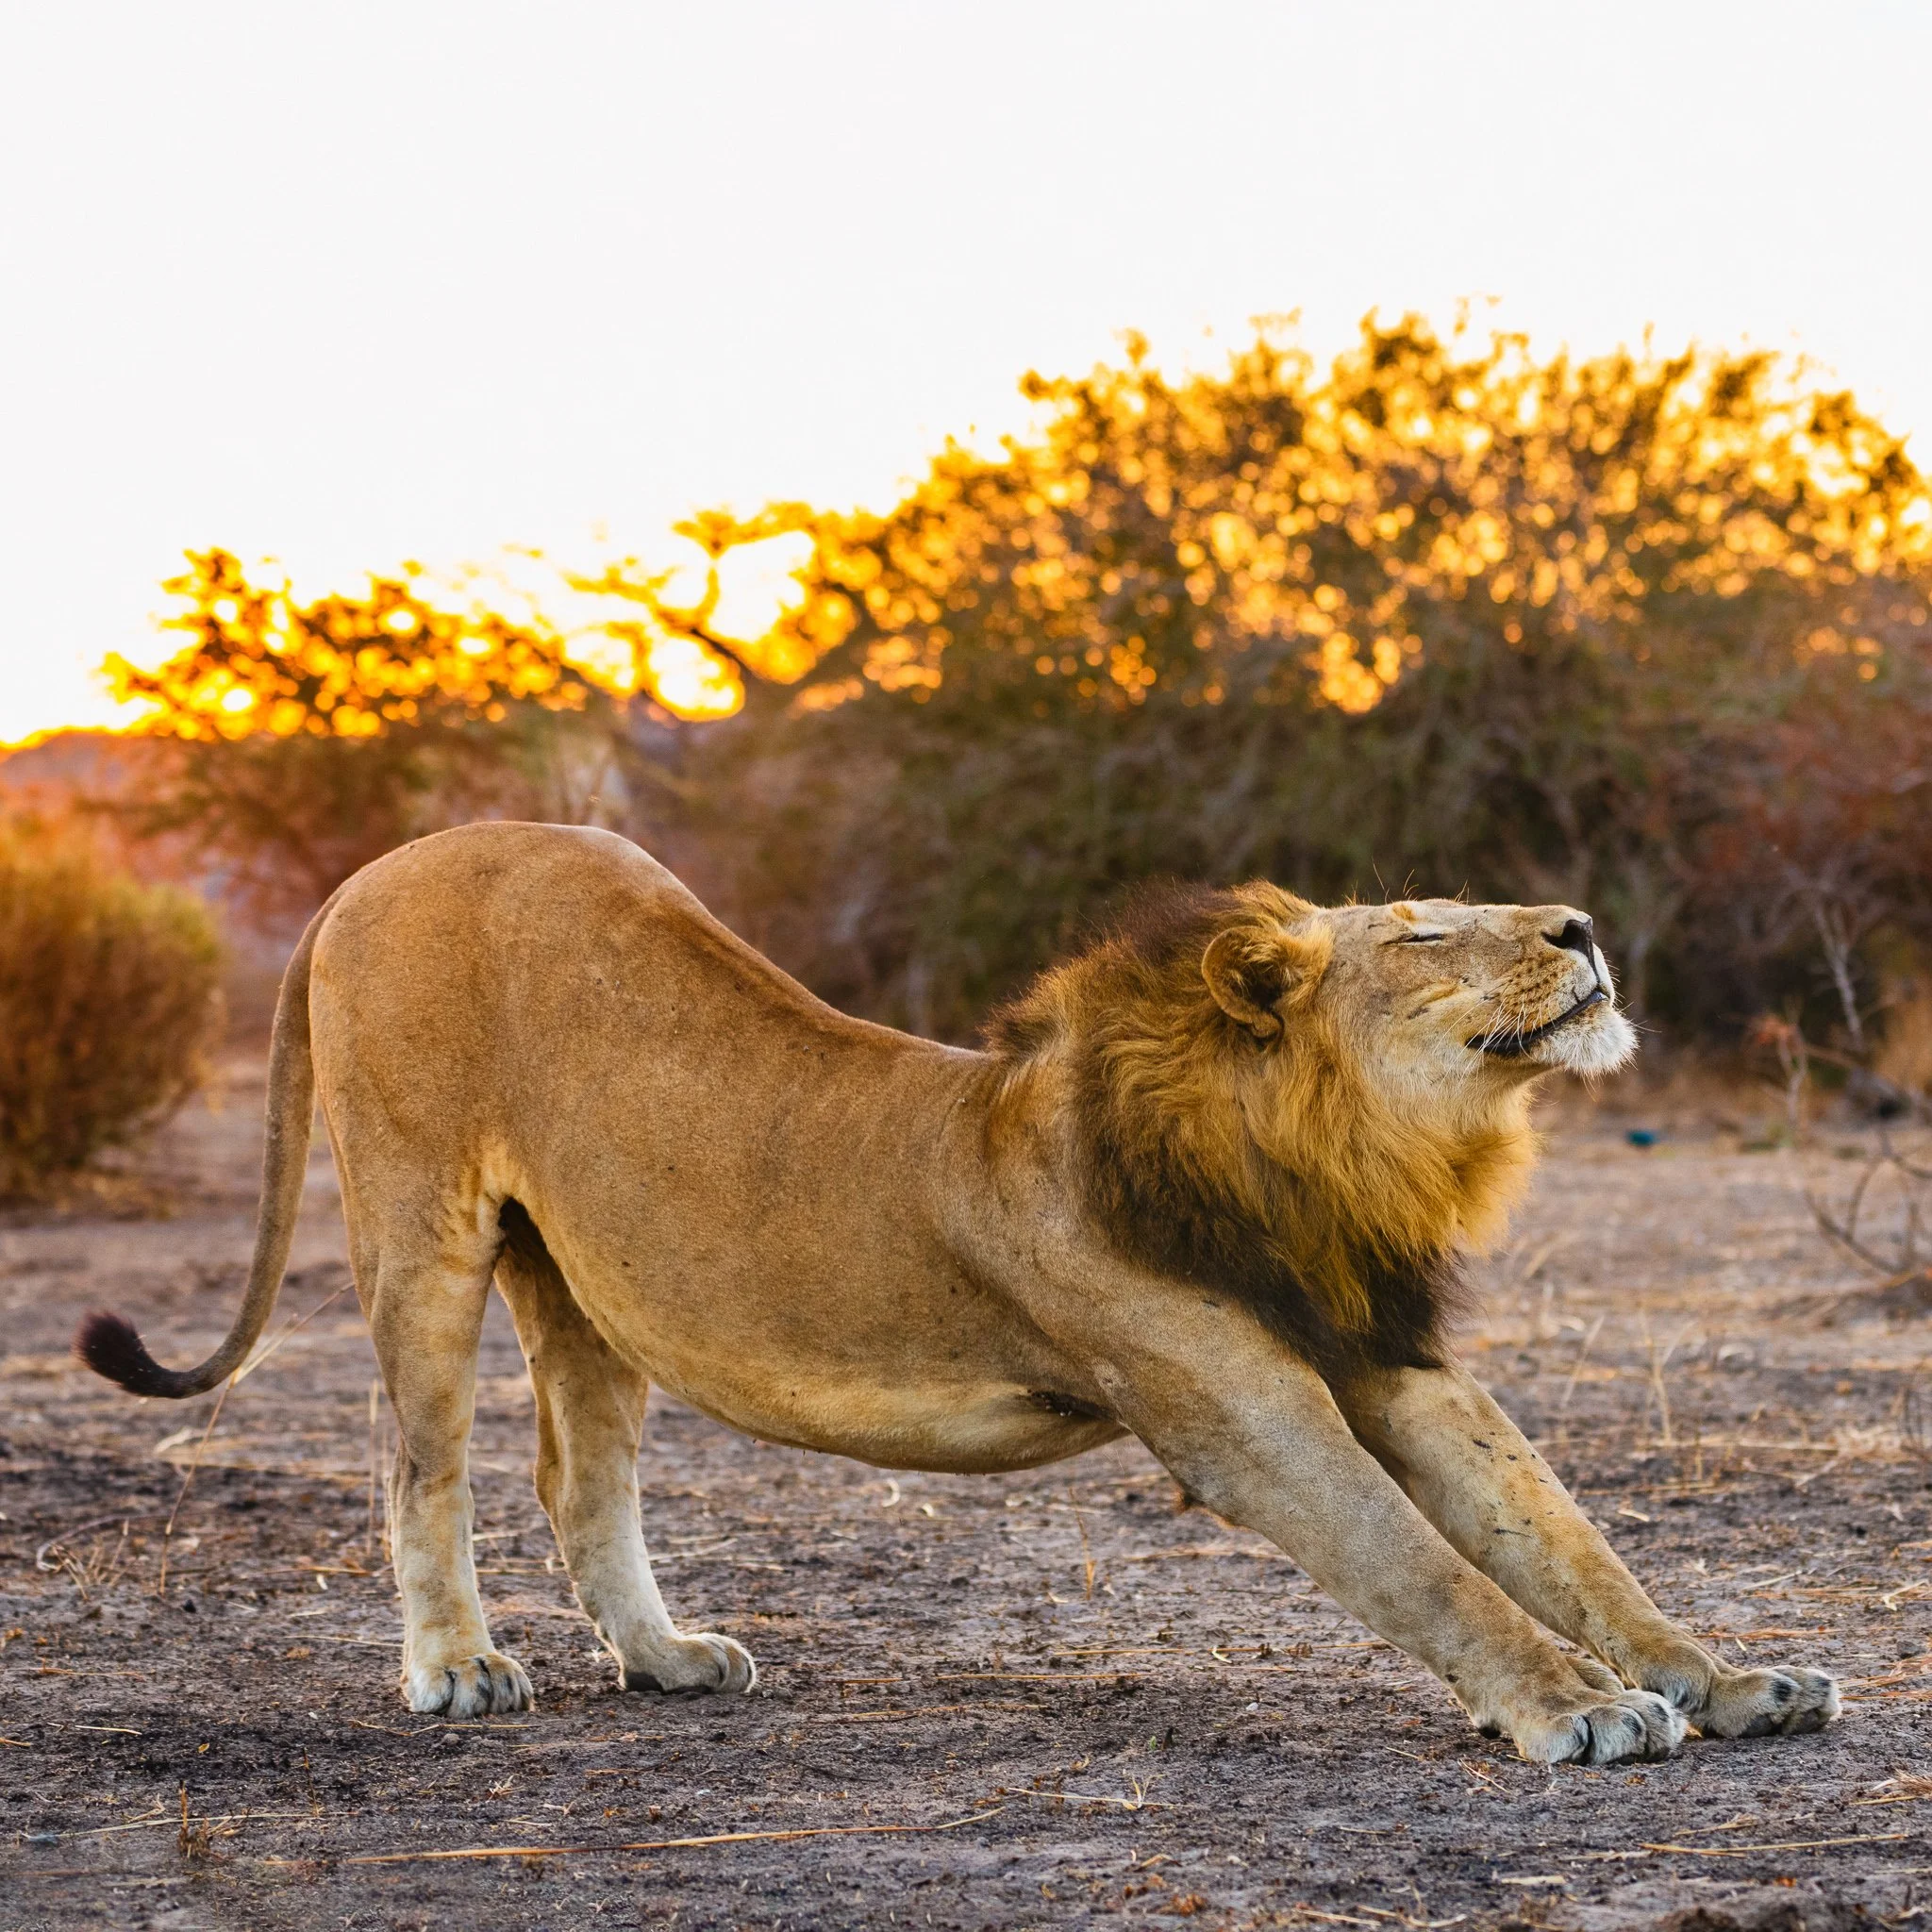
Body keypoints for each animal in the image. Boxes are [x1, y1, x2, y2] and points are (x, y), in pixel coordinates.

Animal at [79, 822, 1838, 1764]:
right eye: (1419, 933)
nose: (1581, 923)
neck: (1325, 1157)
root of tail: (364, 871)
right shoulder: (1242, 1413)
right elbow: (1430, 1572)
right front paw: (1578, 1710)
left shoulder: (1392, 1364)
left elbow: (1567, 1543)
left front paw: (1728, 1678)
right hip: (422, 1227)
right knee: (418, 1460)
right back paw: (454, 1668)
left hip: (582, 1278)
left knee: (579, 1478)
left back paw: (667, 1657)